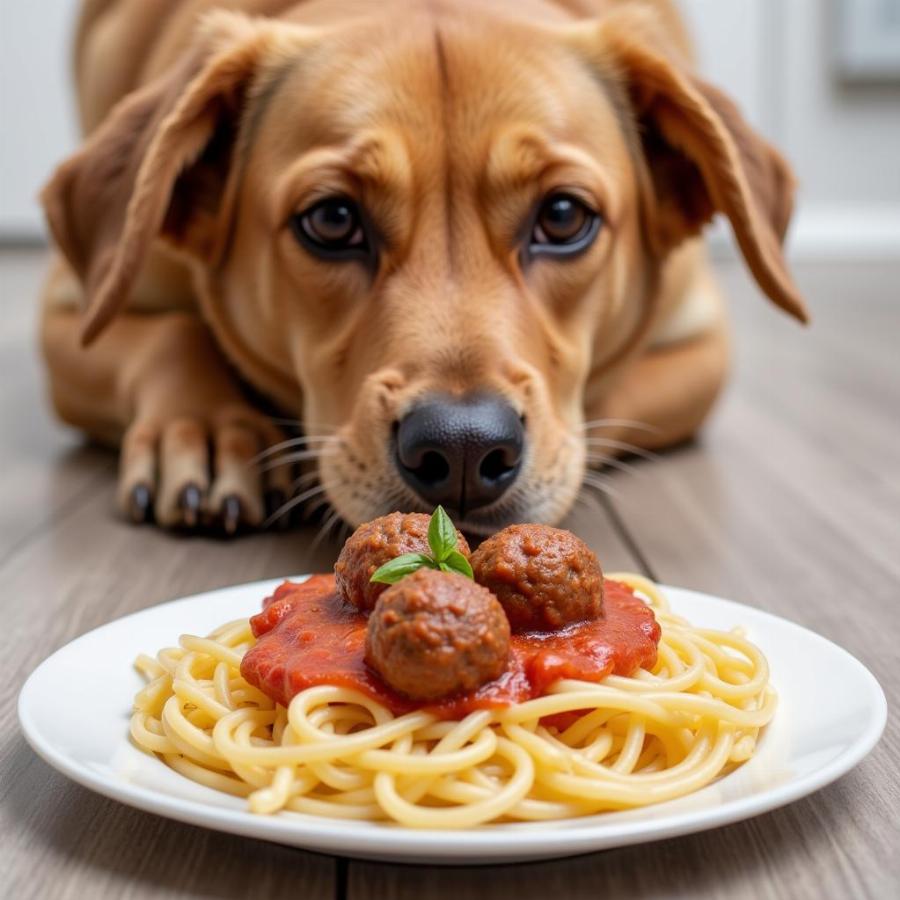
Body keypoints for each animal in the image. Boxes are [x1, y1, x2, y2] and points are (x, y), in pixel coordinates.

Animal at [38, 0, 808, 536]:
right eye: (332, 219)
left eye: (563, 216)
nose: (463, 450)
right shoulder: (69, 309)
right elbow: (169, 335)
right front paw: (202, 429)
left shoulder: (702, 345)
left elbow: (604, 404)